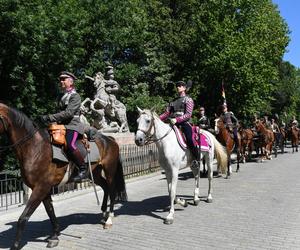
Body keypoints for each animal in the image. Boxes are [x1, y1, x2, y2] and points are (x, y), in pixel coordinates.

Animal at [0, 102, 127, 249]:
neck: (35, 148)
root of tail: (110, 139)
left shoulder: (40, 188)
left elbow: (23, 217)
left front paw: (15, 245)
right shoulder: (44, 189)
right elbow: (50, 212)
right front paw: (55, 235)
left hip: (109, 170)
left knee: (112, 190)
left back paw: (109, 219)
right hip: (94, 173)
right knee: (106, 187)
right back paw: (104, 213)